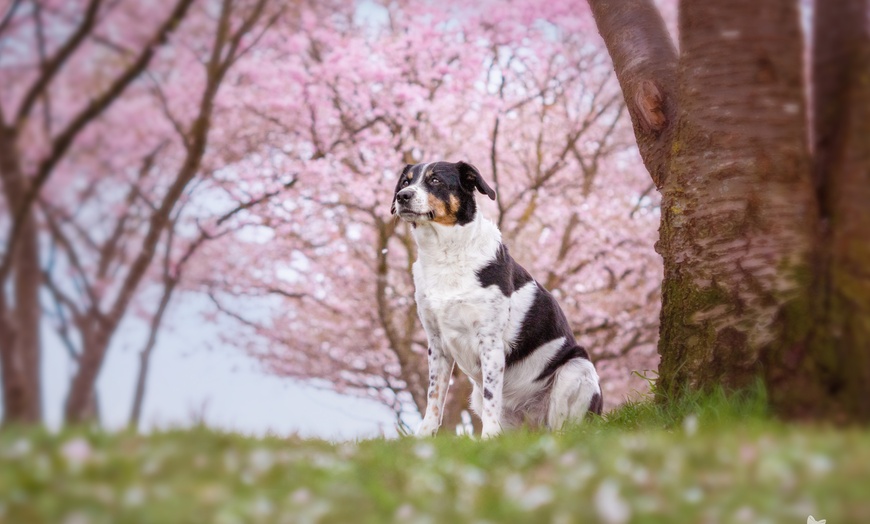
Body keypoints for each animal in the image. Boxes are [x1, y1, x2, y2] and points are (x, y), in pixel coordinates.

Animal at [392, 161, 604, 438]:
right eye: (406, 182)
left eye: (435, 180)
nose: (402, 196)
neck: (446, 254)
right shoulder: (436, 344)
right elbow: (434, 396)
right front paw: (424, 436)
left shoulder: (490, 342)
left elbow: (492, 396)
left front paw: (489, 438)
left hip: (576, 368)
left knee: (562, 429)